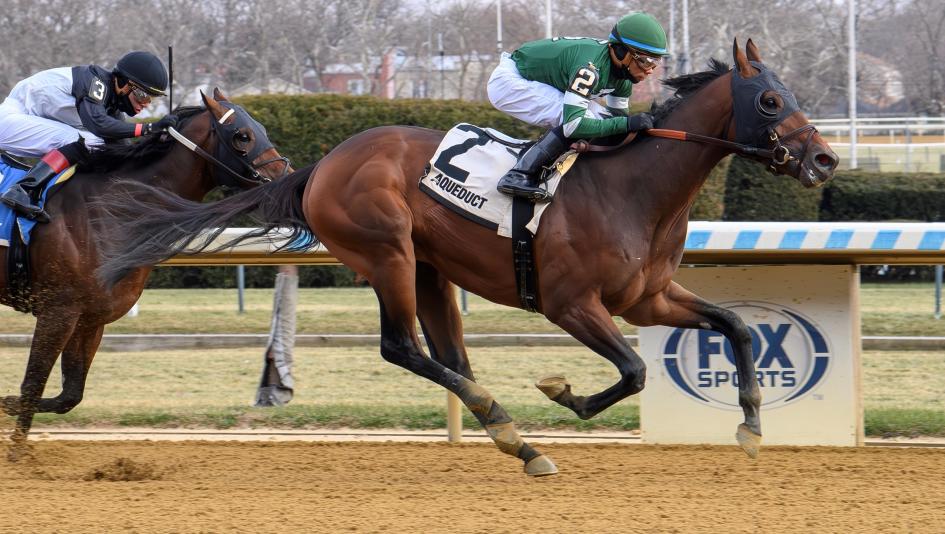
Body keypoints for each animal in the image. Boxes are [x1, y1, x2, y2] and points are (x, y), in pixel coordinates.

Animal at [0, 89, 291, 459]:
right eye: (242, 136)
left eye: (262, 129)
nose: (288, 177)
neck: (108, 209)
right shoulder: (58, 310)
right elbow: (33, 383)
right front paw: (16, 455)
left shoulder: (90, 317)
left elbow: (70, 394)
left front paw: (6, 404)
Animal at [96, 40, 839, 476]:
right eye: (771, 98)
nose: (825, 159)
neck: (633, 188)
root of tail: (320, 165)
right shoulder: (571, 304)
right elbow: (631, 371)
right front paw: (562, 391)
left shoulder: (648, 298)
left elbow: (736, 327)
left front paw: (750, 426)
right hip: (388, 253)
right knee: (403, 347)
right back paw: (512, 430)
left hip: (428, 266)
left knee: (448, 355)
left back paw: (512, 437)